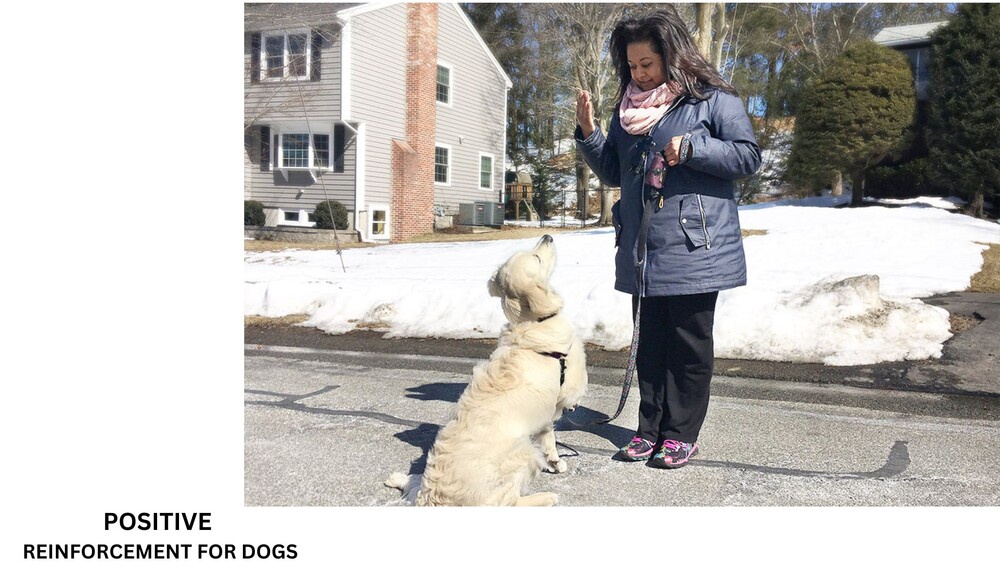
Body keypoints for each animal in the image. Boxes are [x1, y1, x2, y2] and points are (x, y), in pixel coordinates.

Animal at [382, 234, 584, 506]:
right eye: (537, 258)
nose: (548, 236)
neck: (530, 322)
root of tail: (432, 497)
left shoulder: (544, 413)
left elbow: (547, 434)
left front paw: (554, 461)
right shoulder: (563, 385)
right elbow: (555, 426)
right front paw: (556, 459)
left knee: (415, 484)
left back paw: (400, 478)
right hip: (522, 451)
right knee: (509, 502)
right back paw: (547, 497)